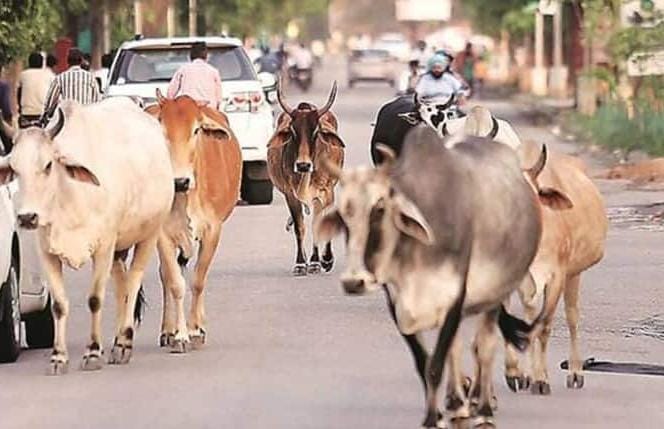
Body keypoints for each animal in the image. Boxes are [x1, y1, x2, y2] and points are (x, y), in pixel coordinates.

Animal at [0, 96, 175, 372]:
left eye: (48, 165)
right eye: (15, 169)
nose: (27, 217)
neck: (70, 196)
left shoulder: (103, 248)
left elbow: (95, 299)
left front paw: (92, 353)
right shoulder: (47, 252)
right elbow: (59, 305)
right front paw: (58, 357)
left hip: (150, 233)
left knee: (134, 282)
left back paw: (124, 343)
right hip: (119, 249)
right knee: (122, 287)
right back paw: (116, 341)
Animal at [147, 91, 243, 348]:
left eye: (197, 130)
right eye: (162, 128)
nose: (180, 181)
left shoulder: (213, 231)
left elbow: (198, 280)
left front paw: (195, 330)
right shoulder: (162, 235)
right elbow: (175, 283)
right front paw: (180, 335)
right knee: (166, 276)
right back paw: (168, 330)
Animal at [268, 80, 344, 276]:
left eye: (316, 132)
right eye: (292, 132)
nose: (303, 165)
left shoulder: (325, 192)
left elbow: (319, 224)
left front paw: (322, 260)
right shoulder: (290, 195)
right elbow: (299, 227)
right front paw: (301, 263)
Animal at [316, 128, 564, 428]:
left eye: (379, 208)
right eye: (343, 216)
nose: (354, 282)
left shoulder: (455, 295)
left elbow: (437, 364)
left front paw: (439, 417)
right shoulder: (398, 302)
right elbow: (425, 361)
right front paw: (435, 414)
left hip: (495, 294)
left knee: (485, 347)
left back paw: (483, 408)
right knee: (457, 350)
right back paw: (458, 403)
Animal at [504, 139, 608, 392]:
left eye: (532, 196)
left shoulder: (557, 276)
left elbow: (545, 326)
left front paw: (541, 380)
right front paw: (521, 374)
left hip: (574, 273)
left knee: (572, 317)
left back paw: (575, 372)